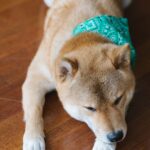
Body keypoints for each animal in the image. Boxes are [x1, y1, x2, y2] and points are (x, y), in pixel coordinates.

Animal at [22, 0, 136, 149]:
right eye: (90, 108)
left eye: (118, 100)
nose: (116, 136)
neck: (84, 35)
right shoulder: (35, 78)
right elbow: (33, 110)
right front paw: (33, 139)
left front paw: (104, 145)